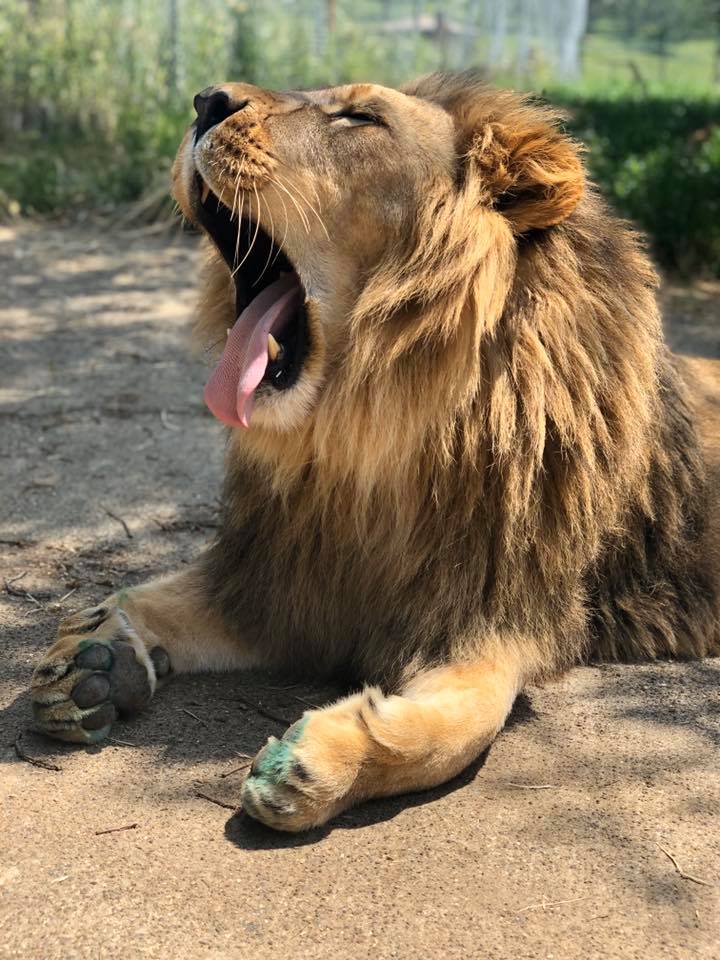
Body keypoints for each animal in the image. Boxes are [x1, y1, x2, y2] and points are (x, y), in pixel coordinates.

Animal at [31, 71, 720, 828]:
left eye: (360, 118)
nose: (206, 100)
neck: (361, 445)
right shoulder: (280, 580)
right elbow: (146, 593)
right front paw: (91, 656)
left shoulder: (501, 613)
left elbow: (460, 729)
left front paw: (313, 767)